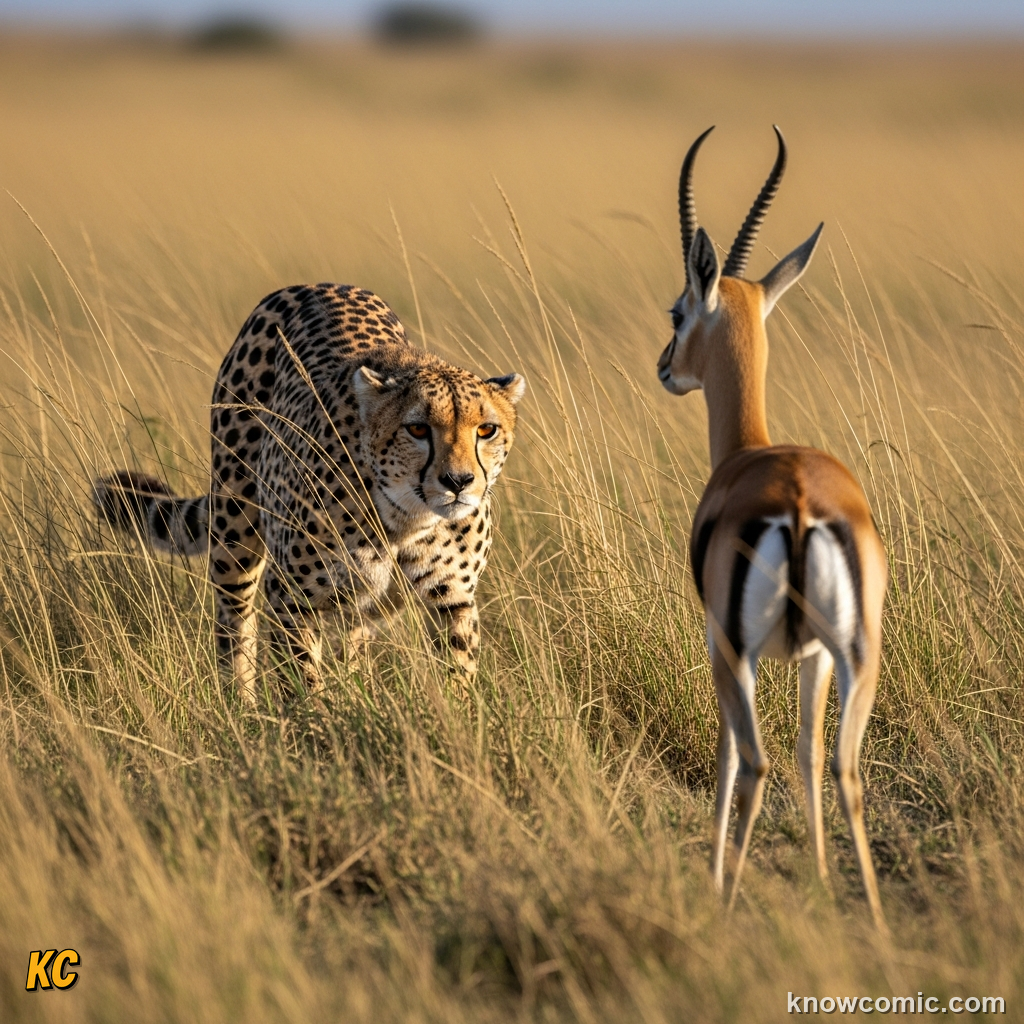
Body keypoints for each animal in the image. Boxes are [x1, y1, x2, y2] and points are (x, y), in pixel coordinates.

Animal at [94, 283, 526, 703]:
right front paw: (315, 720)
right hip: (235, 532)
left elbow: (458, 672)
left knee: (352, 640)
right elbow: (301, 679)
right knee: (235, 624)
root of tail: (314, 285)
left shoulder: (453, 599)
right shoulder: (291, 596)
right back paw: (241, 706)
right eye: (417, 428)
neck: (406, 519)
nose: (458, 481)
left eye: (486, 429)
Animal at [657, 126, 887, 928]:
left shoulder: (716, 643)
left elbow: (730, 754)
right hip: (855, 654)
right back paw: (872, 916)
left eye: (677, 311)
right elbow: (810, 756)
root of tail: (796, 501)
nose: (664, 367)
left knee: (753, 760)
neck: (750, 451)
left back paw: (724, 900)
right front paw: (817, 876)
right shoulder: (814, 655)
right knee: (843, 766)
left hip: (741, 653)